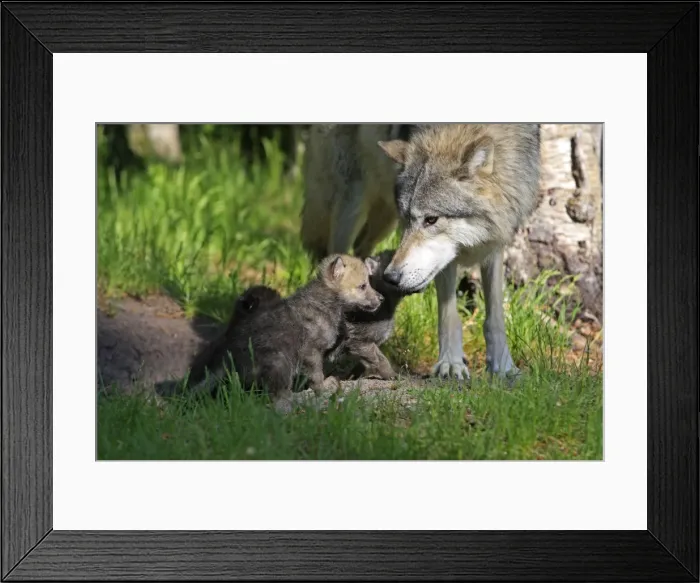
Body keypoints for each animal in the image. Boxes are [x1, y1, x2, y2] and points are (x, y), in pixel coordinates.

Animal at [378, 124, 541, 381]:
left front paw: (503, 366)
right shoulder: (447, 259)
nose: (390, 277)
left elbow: (495, 315)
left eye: (431, 220)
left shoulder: (495, 240)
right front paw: (451, 363)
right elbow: (449, 315)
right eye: (405, 219)